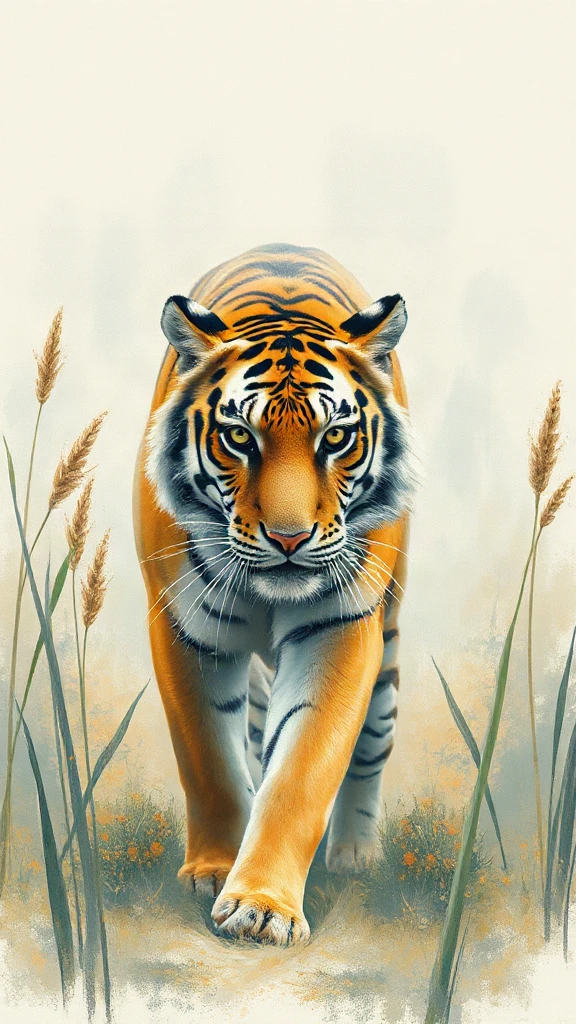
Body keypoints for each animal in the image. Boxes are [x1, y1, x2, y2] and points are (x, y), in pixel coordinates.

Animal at [133, 242, 416, 946]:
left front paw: (262, 908)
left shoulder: (340, 631)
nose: (289, 538)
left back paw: (353, 856)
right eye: (240, 437)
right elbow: (209, 759)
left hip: (387, 649)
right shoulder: (183, 626)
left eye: (335, 437)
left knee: (370, 746)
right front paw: (213, 870)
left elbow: (301, 771)